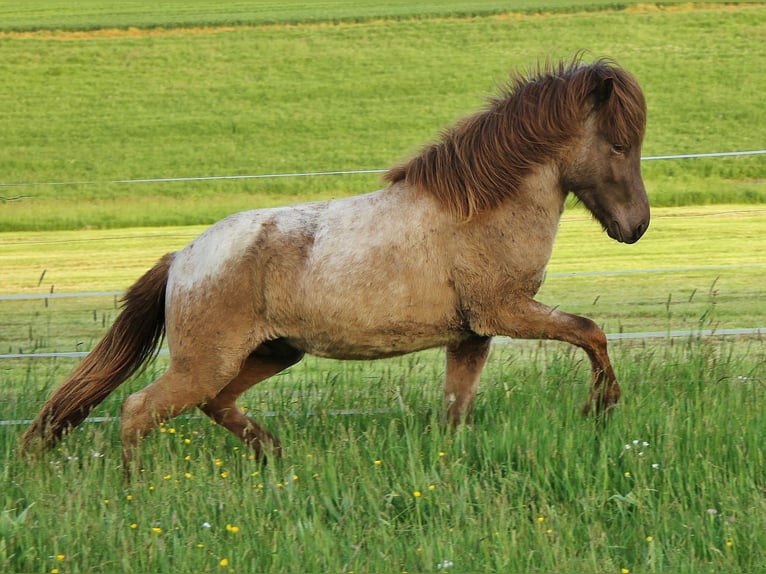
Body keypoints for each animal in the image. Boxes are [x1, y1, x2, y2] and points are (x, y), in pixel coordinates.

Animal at [21, 58, 652, 472]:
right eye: (619, 145)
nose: (637, 226)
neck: (479, 210)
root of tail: (182, 259)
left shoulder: (471, 336)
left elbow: (456, 411)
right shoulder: (507, 312)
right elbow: (591, 331)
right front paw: (600, 406)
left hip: (271, 353)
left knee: (214, 404)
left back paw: (273, 454)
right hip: (207, 362)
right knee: (138, 410)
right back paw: (135, 489)